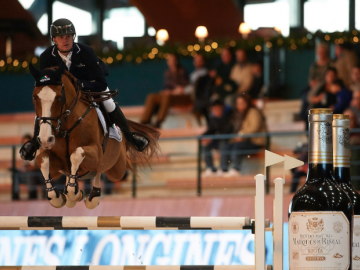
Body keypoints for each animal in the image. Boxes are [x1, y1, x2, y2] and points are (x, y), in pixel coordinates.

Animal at [30, 62, 160, 209]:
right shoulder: (56, 166)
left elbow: (76, 154)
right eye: (34, 97)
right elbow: (43, 160)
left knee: (102, 170)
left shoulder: (96, 152)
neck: (66, 127)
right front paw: (57, 197)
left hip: (117, 169)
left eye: (59, 97)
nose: (46, 139)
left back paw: (93, 196)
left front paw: (74, 193)